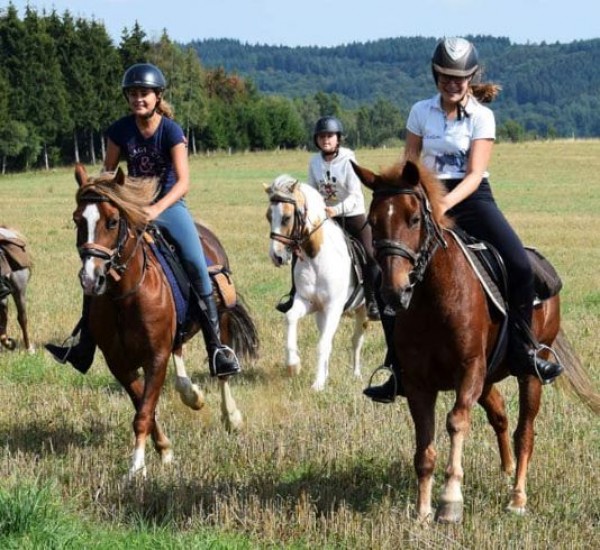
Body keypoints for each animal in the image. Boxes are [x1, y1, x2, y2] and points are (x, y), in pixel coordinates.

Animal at [71, 163, 259, 479]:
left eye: (112, 222)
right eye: (77, 221)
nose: (90, 278)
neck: (124, 297)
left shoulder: (155, 357)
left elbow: (144, 412)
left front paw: (136, 467)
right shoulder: (119, 363)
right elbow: (144, 407)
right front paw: (164, 450)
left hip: (220, 318)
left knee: (221, 367)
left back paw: (230, 416)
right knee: (179, 351)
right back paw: (191, 394)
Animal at [265, 174, 368, 391]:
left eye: (286, 218)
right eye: (268, 216)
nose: (276, 257)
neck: (316, 257)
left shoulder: (333, 307)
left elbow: (322, 344)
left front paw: (318, 384)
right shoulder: (308, 302)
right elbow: (291, 318)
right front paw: (293, 365)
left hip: (363, 310)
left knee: (357, 341)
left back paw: (357, 375)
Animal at [352, 159, 600, 522]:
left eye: (414, 219)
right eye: (372, 222)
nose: (393, 292)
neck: (433, 299)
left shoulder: (469, 369)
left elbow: (456, 422)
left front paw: (450, 500)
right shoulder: (417, 382)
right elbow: (424, 446)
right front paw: (422, 511)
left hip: (529, 375)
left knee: (524, 431)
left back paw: (517, 497)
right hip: (488, 377)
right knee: (500, 415)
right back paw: (506, 469)